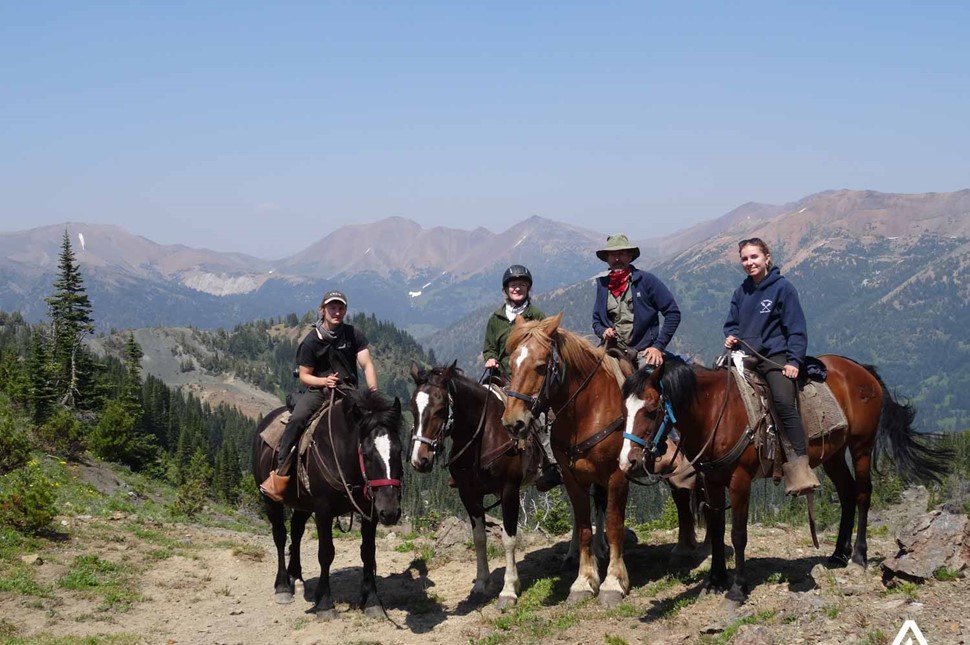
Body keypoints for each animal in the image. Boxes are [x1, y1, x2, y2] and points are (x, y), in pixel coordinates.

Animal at [251, 388, 402, 620]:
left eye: (400, 450)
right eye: (366, 454)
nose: (391, 512)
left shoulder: (370, 511)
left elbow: (368, 552)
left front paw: (372, 601)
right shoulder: (323, 509)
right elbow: (326, 553)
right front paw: (325, 604)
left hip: (303, 504)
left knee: (296, 530)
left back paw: (296, 576)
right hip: (270, 500)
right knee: (280, 536)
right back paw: (283, 586)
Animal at [616, 354, 948, 600]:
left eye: (652, 409)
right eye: (625, 410)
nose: (627, 462)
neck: (717, 412)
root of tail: (862, 371)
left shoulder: (740, 481)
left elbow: (738, 534)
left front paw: (737, 588)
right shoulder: (711, 480)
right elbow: (717, 529)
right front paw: (715, 580)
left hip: (861, 446)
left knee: (863, 494)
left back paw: (857, 558)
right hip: (834, 454)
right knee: (846, 494)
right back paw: (837, 555)